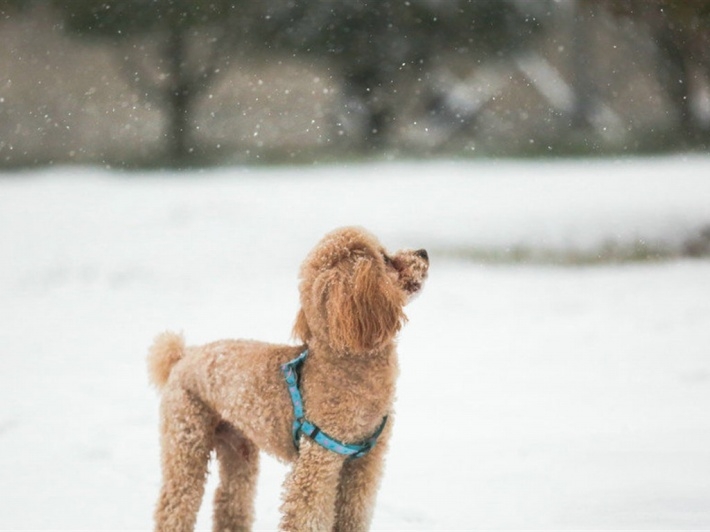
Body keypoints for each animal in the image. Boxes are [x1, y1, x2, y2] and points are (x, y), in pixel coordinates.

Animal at [147, 225, 432, 532]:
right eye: (385, 259)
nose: (423, 252)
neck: (344, 362)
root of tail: (182, 357)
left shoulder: (365, 463)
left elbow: (354, 513)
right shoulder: (318, 461)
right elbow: (307, 514)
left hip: (237, 445)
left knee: (230, 500)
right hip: (186, 436)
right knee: (175, 504)